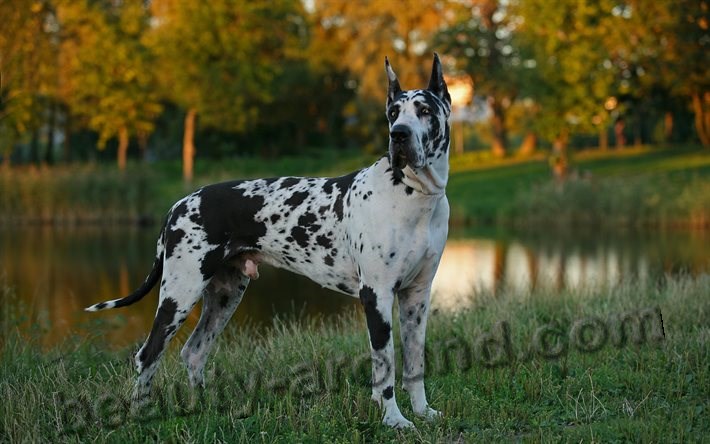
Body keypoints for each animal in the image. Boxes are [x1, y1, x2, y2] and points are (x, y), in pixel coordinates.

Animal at [87, 53, 450, 428]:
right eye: (393, 113)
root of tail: (179, 204)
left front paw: (422, 412)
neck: (413, 195)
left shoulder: (416, 297)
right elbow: (385, 366)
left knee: (194, 352)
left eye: (424, 110)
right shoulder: (376, 296)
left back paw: (203, 406)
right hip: (179, 293)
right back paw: (140, 411)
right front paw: (394, 419)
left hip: (224, 295)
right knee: (148, 354)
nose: (399, 135)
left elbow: (415, 364)